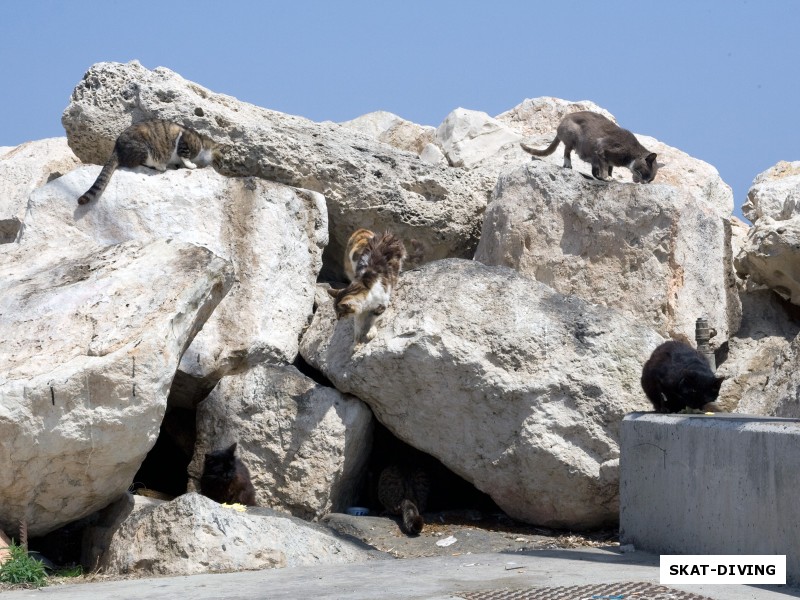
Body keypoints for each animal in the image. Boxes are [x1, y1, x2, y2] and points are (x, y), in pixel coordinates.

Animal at [77, 118, 222, 205]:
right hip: (144, 149)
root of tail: (117, 148)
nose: (221, 167)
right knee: (138, 162)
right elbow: (184, 155)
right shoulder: (184, 140)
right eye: (222, 160)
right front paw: (190, 165)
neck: (204, 145)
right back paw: (160, 166)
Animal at [520, 111, 660, 183]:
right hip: (572, 136)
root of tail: (562, 121)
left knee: (593, 170)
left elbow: (609, 168)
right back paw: (568, 165)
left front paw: (609, 176)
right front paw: (607, 177)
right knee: (567, 150)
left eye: (651, 179)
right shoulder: (603, 148)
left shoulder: (606, 159)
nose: (645, 183)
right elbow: (605, 167)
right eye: (646, 173)